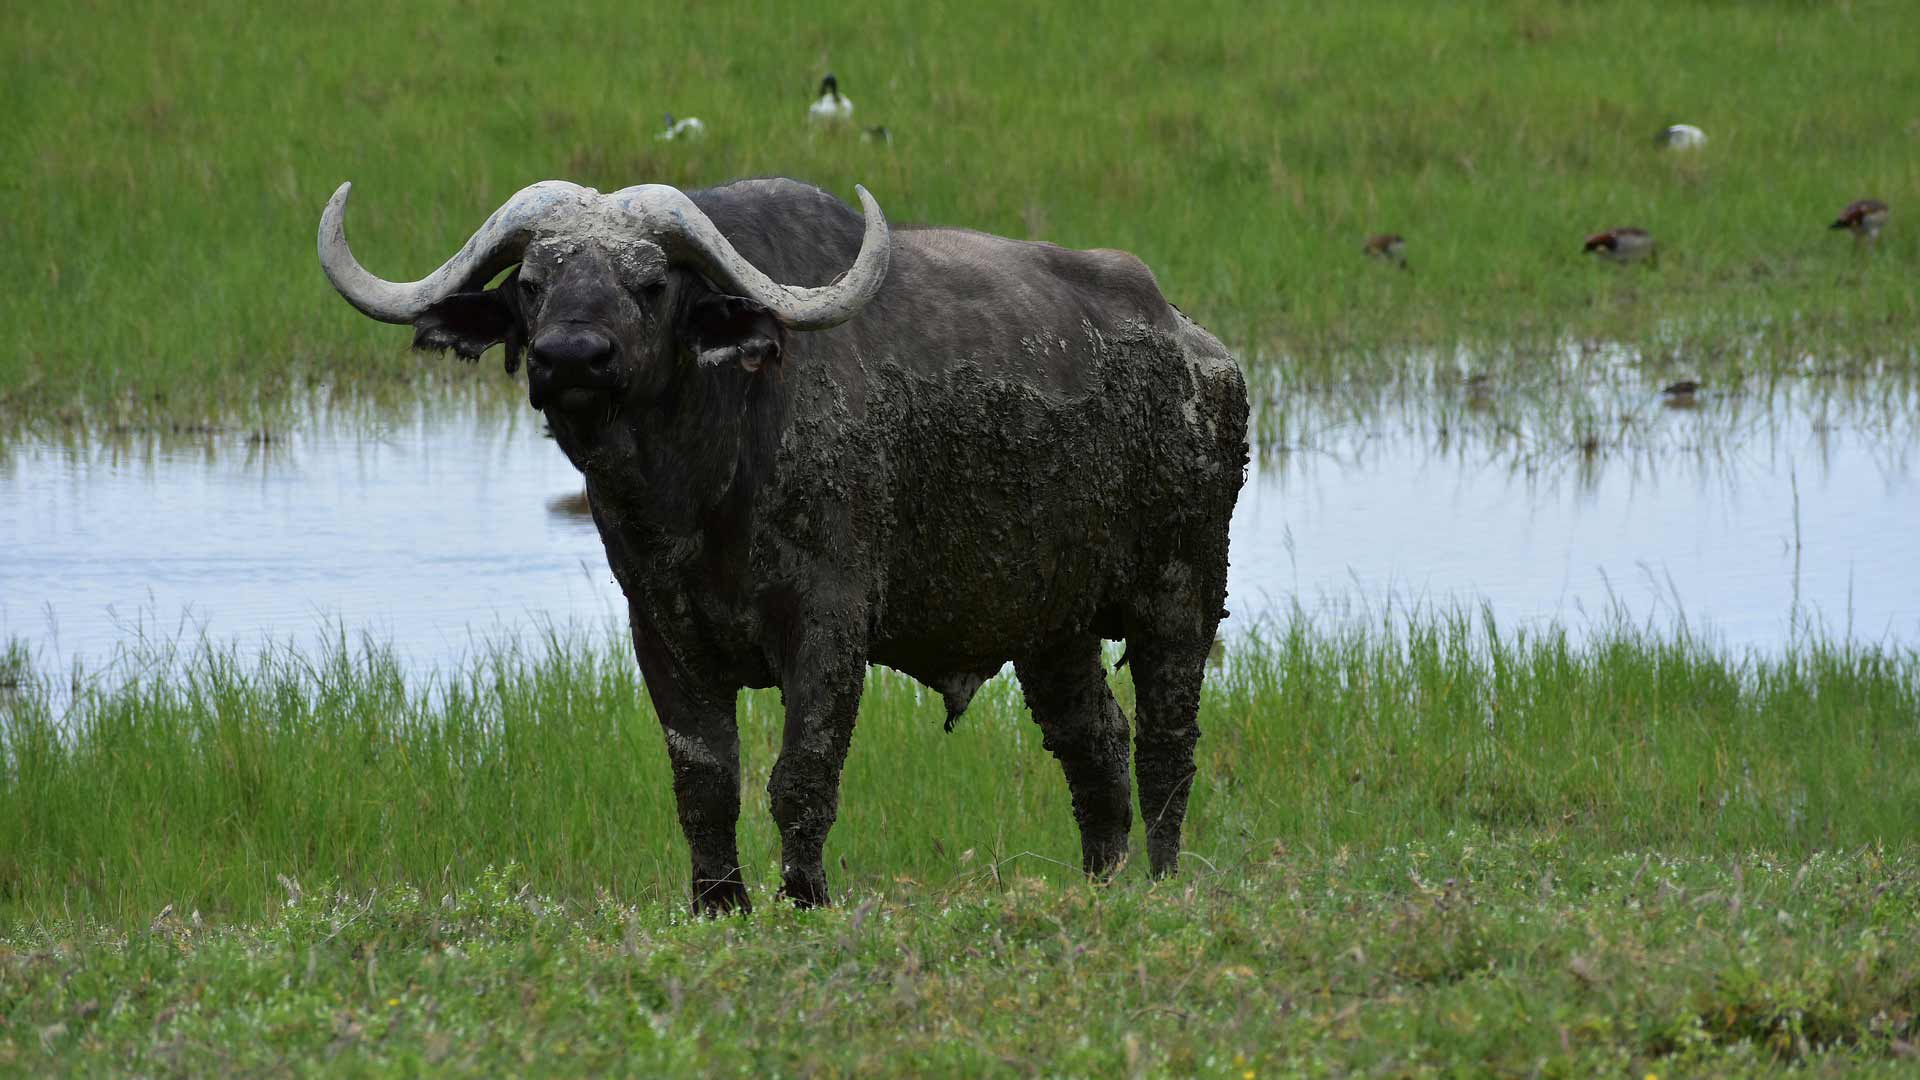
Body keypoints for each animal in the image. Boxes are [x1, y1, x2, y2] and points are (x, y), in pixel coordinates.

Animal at [318, 174, 1244, 907]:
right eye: (535, 283)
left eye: (650, 284)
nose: (571, 357)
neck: (700, 491)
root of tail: (1197, 346)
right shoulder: (661, 633)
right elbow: (704, 786)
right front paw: (718, 905)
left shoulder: (830, 627)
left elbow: (801, 777)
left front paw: (805, 899)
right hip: (1051, 627)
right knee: (1094, 746)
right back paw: (1102, 880)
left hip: (1180, 594)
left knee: (1166, 747)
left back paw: (1161, 878)